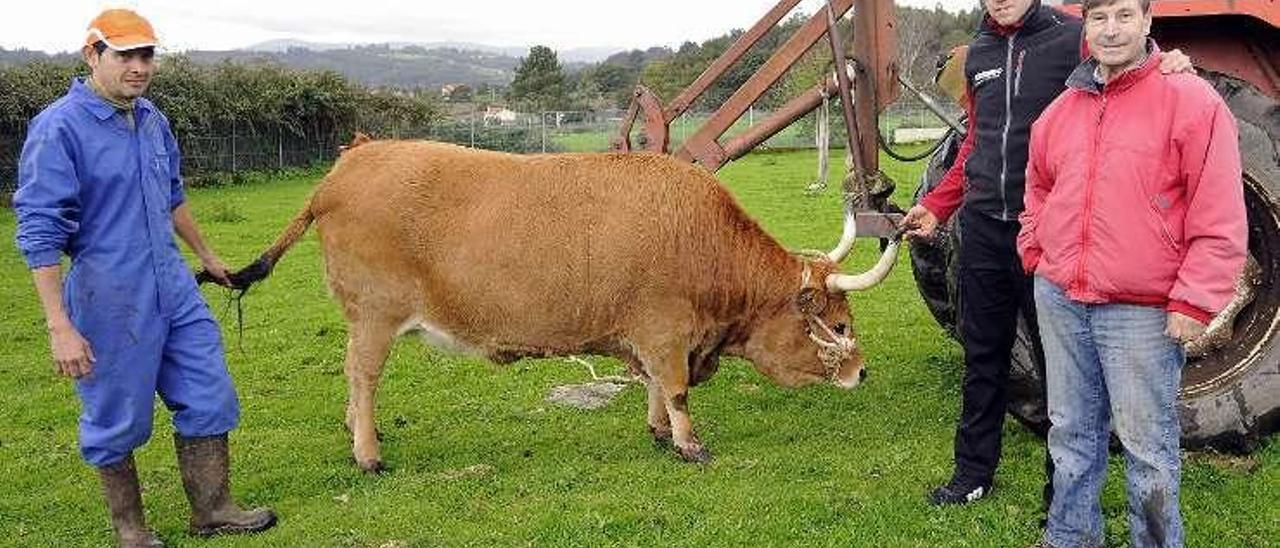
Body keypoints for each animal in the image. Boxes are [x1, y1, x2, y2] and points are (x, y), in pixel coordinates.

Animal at [230, 138, 896, 471]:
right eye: (840, 324)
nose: (863, 372)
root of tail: (344, 169)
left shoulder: (646, 335)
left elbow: (654, 386)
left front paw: (659, 431)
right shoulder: (666, 330)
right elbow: (676, 388)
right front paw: (688, 444)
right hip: (374, 317)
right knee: (363, 378)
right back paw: (367, 452)